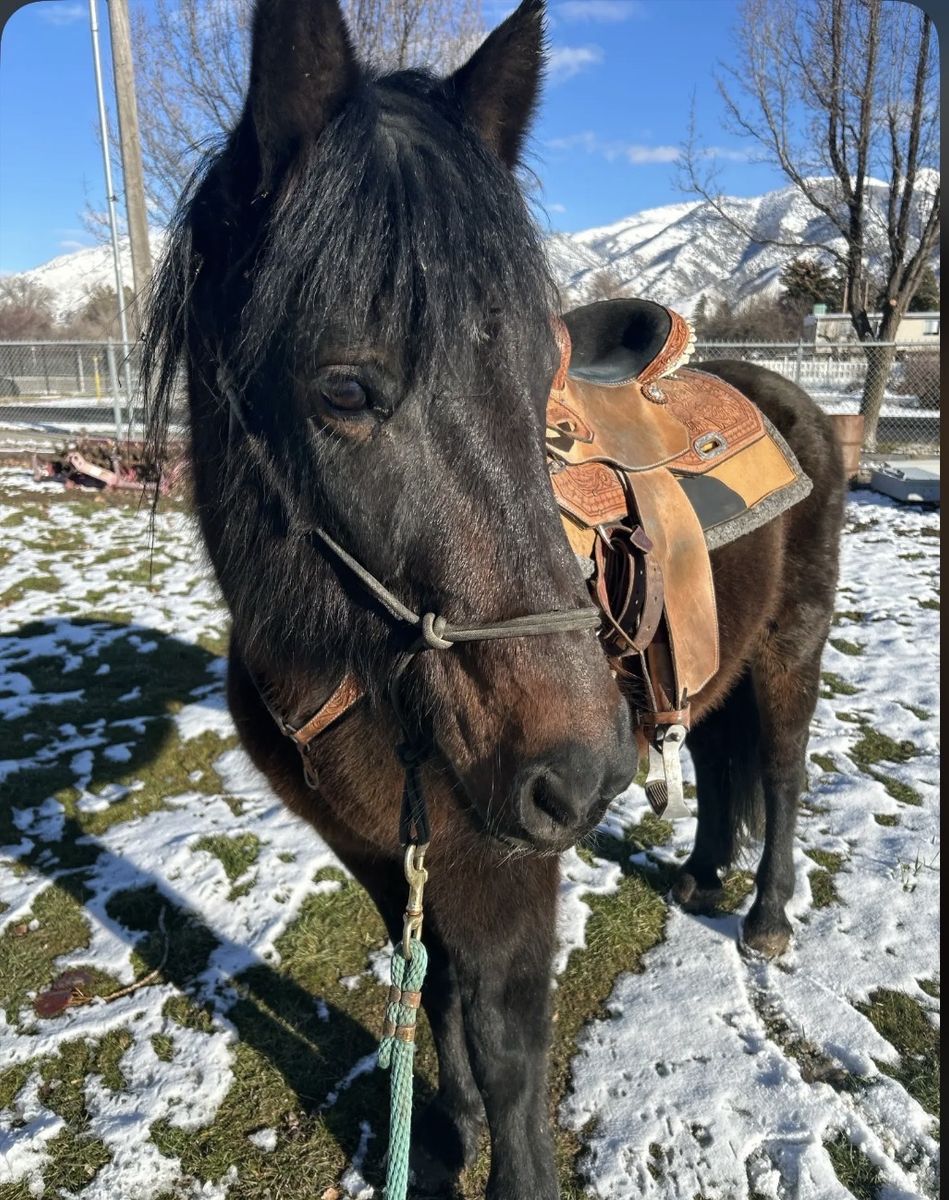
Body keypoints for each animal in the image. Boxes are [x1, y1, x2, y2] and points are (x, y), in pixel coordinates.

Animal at [142, 0, 845, 1195]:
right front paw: (445, 1131)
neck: (351, 667)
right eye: (342, 388)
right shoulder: (383, 851)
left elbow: (510, 1047)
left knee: (783, 771)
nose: (582, 776)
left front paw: (492, 1140)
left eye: (537, 380)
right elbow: (432, 992)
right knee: (715, 757)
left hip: (790, 649)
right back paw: (703, 876)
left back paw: (762, 918)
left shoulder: (507, 870)